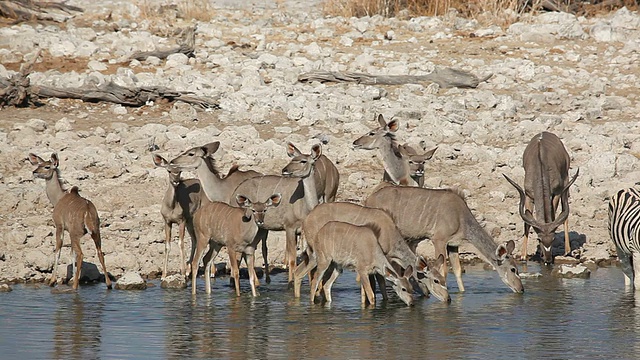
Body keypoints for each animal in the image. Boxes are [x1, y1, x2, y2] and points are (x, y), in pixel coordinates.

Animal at [28, 152, 112, 290]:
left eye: (47, 166)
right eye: (38, 164)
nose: (34, 172)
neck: (59, 198)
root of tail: (87, 212)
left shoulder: (60, 226)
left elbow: (58, 250)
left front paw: (52, 281)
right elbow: (71, 254)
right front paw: (71, 278)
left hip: (75, 233)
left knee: (81, 254)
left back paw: (75, 286)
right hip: (95, 232)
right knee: (99, 252)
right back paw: (109, 284)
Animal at [231, 143, 322, 286]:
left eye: (303, 161)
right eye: (293, 159)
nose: (285, 169)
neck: (305, 206)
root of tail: (234, 194)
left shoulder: (302, 232)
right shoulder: (289, 228)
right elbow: (291, 259)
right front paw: (290, 283)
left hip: (260, 229)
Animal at [296, 201, 450, 302]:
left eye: (443, 279)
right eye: (436, 280)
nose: (447, 299)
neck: (390, 234)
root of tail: (305, 220)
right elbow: (378, 284)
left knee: (301, 273)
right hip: (317, 255)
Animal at [364, 187, 524, 294]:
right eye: (513, 269)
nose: (521, 289)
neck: (461, 217)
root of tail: (369, 198)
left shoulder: (453, 245)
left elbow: (458, 270)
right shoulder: (439, 240)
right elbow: (443, 270)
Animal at [504, 131, 580, 262]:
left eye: (553, 239)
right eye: (539, 239)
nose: (548, 259)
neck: (540, 164)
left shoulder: (557, 192)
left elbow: (554, 215)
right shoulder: (528, 195)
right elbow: (527, 222)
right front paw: (523, 255)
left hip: (565, 181)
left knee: (564, 212)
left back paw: (567, 250)